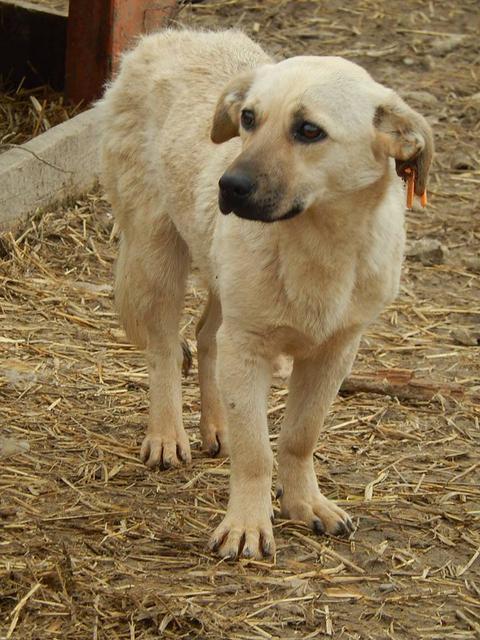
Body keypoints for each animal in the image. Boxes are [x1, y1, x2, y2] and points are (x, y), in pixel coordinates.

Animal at [99, 27, 434, 556]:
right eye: (249, 119)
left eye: (310, 130)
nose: (229, 185)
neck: (319, 244)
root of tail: (165, 37)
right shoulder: (249, 344)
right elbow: (256, 451)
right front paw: (247, 526)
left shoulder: (335, 352)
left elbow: (299, 436)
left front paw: (305, 504)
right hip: (157, 252)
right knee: (165, 348)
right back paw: (168, 435)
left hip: (220, 273)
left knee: (206, 335)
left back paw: (217, 426)